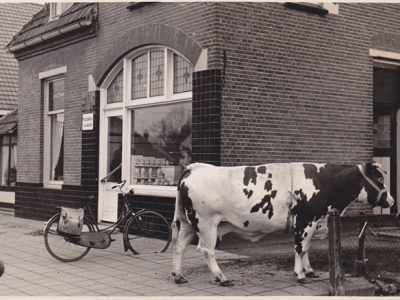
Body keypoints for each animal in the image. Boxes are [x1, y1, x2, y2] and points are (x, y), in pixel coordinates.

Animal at [172, 162, 394, 286]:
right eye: (380, 180)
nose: (391, 201)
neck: (326, 181)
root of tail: (196, 167)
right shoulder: (305, 220)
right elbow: (300, 247)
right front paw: (300, 274)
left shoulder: (312, 222)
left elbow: (306, 248)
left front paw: (309, 271)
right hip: (206, 223)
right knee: (206, 250)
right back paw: (222, 278)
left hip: (187, 223)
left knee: (179, 246)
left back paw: (178, 275)